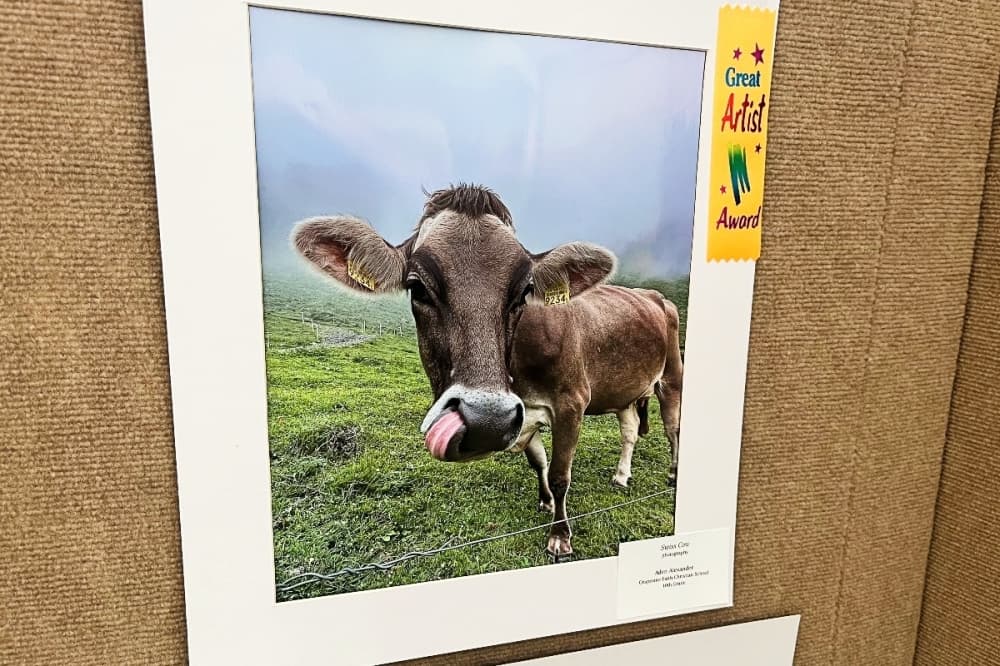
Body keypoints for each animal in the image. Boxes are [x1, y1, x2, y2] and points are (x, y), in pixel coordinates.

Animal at [292, 184, 682, 560]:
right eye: (416, 287)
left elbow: (559, 474)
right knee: (629, 430)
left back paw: (674, 473)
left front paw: (560, 536)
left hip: (671, 377)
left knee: (672, 428)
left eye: (525, 291)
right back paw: (621, 475)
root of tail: (654, 295)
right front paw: (544, 502)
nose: (485, 423)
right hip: (625, 390)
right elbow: (538, 462)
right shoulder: (524, 413)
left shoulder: (571, 403)